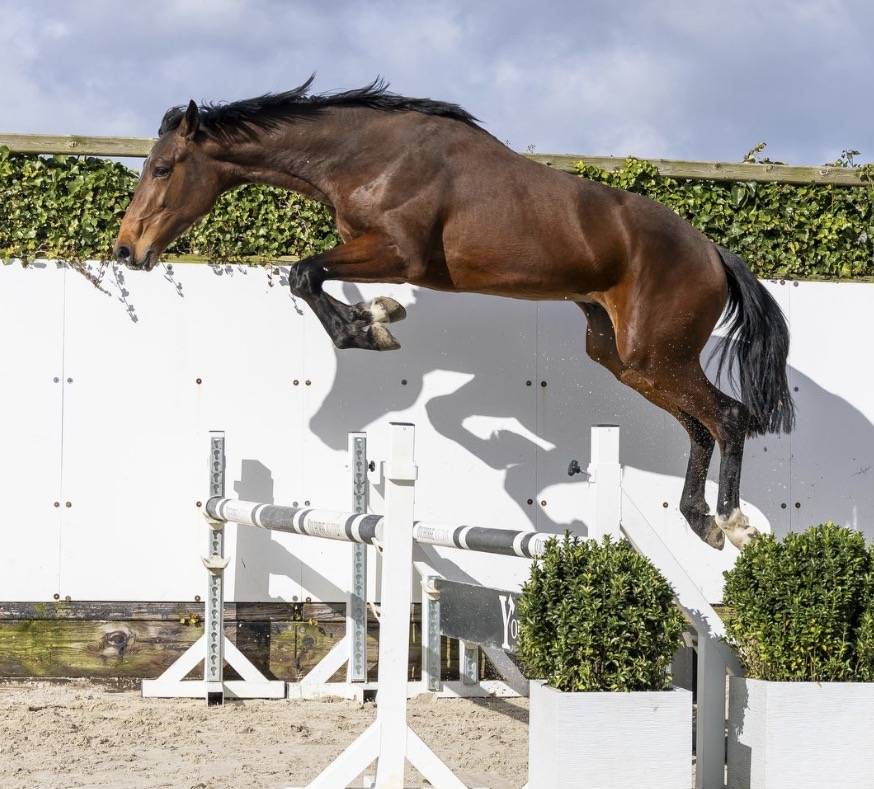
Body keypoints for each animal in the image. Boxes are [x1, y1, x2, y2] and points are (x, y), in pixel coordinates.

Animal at [114, 77, 794, 551]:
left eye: (163, 167)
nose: (127, 251)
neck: (367, 155)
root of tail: (712, 252)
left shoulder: (401, 253)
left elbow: (303, 272)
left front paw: (374, 325)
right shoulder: (379, 253)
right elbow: (313, 278)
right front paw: (379, 316)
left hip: (654, 354)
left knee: (728, 417)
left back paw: (732, 522)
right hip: (623, 357)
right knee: (700, 426)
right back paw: (700, 521)